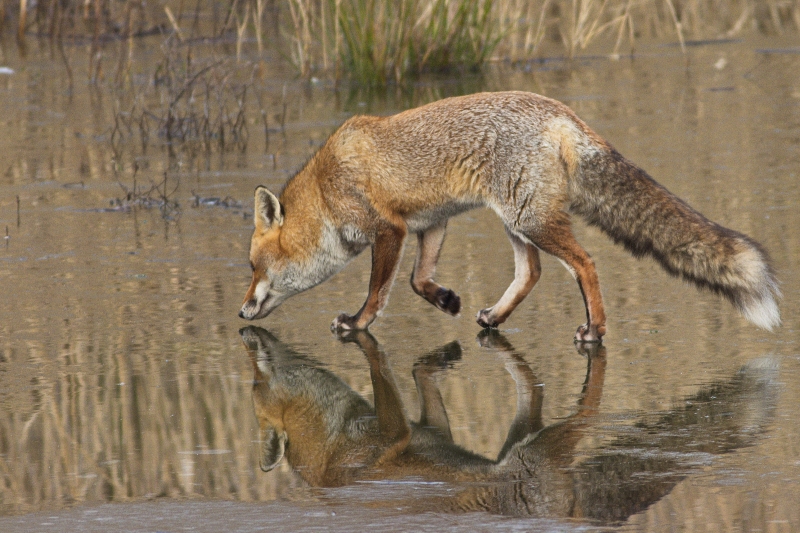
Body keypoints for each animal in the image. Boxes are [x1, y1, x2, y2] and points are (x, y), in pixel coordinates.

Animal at [239, 91, 780, 340]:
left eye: (252, 266)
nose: (240, 312)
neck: (326, 188)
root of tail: (560, 111)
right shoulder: (430, 223)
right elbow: (417, 281)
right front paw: (445, 300)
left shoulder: (389, 230)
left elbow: (378, 292)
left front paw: (357, 323)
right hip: (516, 221)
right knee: (532, 271)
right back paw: (495, 316)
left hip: (530, 220)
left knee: (585, 264)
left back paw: (595, 330)